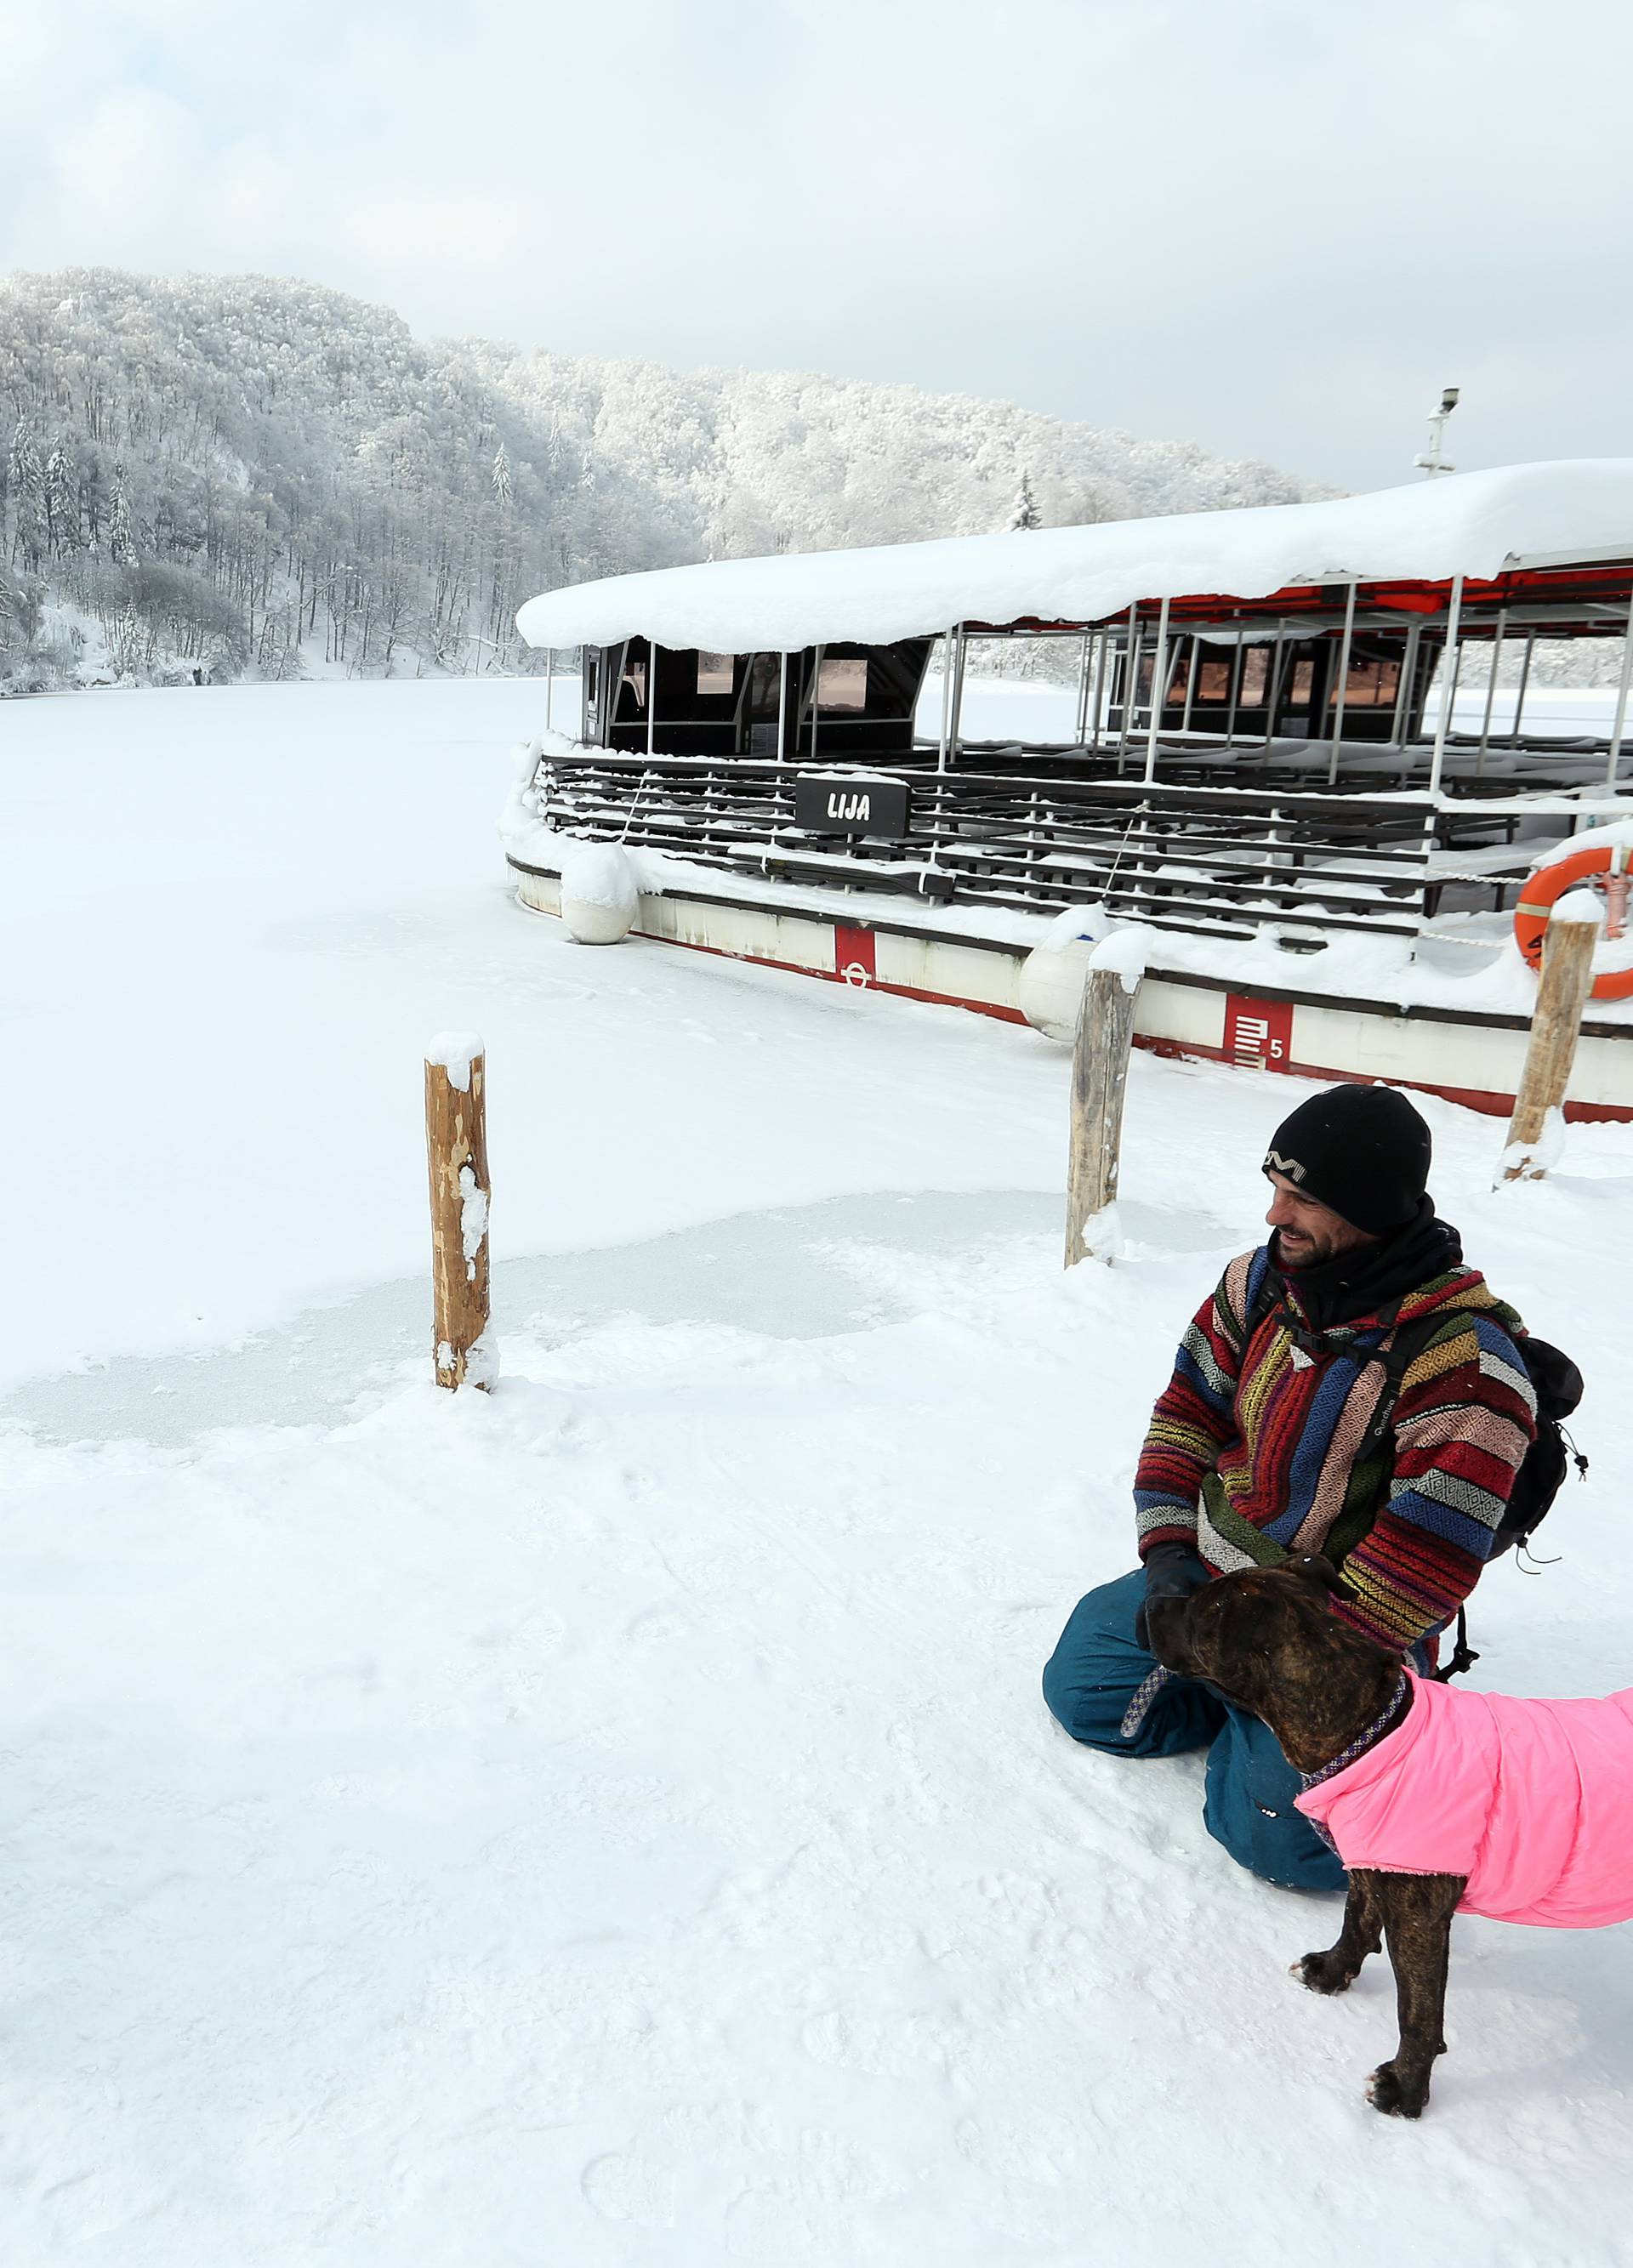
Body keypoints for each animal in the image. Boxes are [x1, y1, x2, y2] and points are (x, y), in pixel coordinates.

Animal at [1143, 1569, 1460, 2113]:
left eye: (1198, 1612)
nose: (1149, 1604)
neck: (1368, 1730)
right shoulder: (1365, 1869)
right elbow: (1355, 1922)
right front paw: (1331, 1974)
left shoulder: (1418, 1919)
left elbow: (1417, 2013)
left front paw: (1404, 2088)